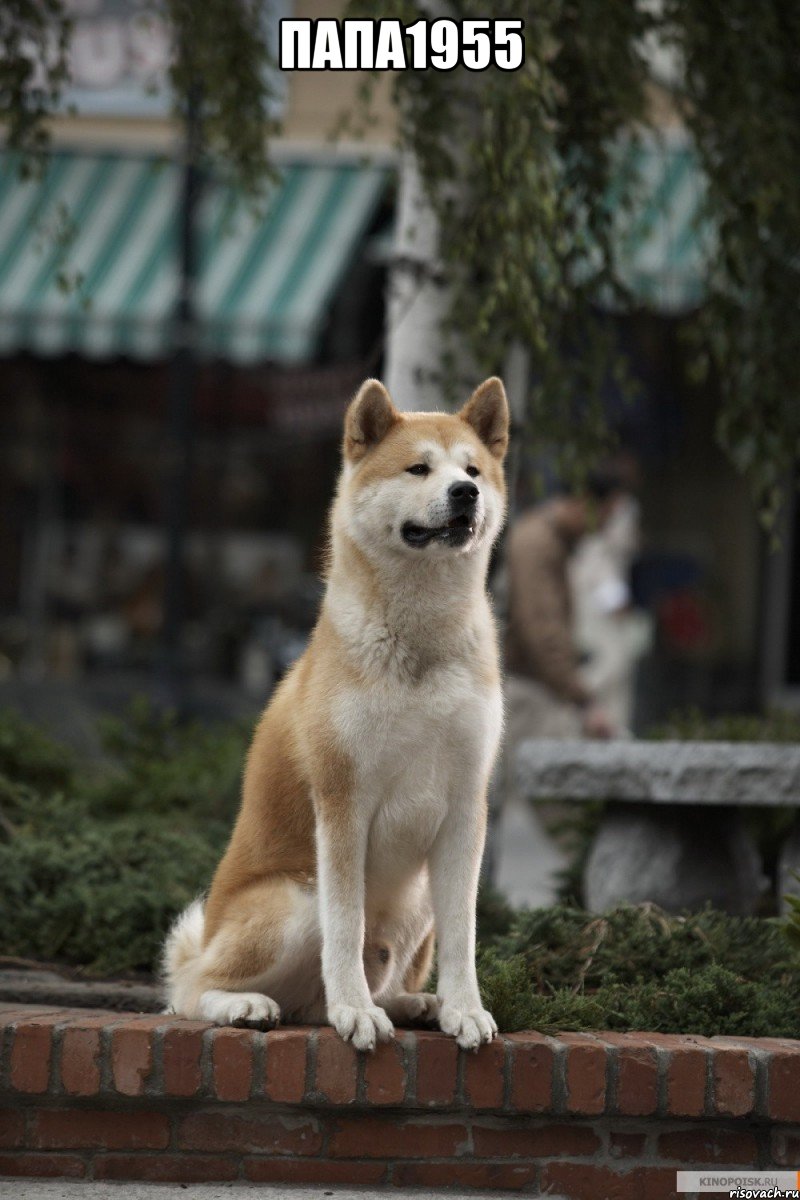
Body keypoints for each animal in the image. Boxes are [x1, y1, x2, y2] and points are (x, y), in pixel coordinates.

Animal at [165, 374, 510, 1051]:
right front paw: (355, 1011)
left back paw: (415, 1003)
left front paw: (464, 1009)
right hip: (295, 900)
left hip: (417, 900)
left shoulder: (466, 806)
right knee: (189, 990)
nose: (465, 493)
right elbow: (346, 928)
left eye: (473, 470)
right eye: (418, 468)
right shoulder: (343, 801)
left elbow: (464, 935)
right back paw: (250, 1005)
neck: (420, 643)